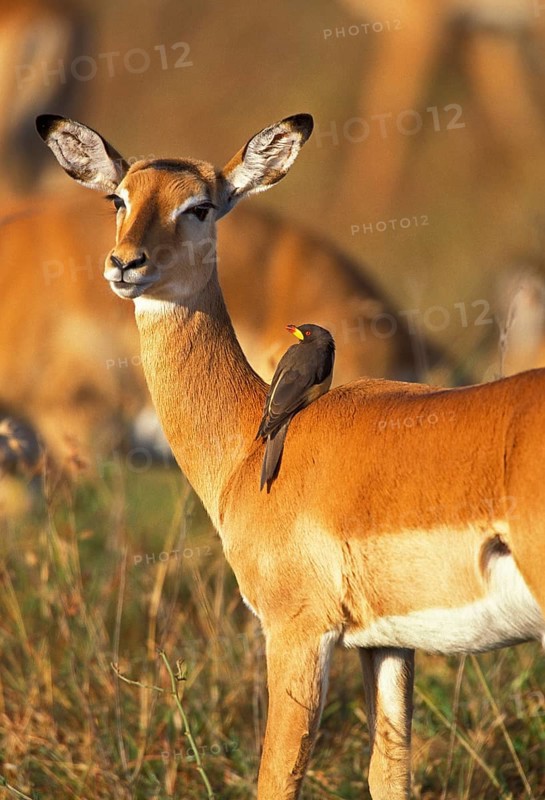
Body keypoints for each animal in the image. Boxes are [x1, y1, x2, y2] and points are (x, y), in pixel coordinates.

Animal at [37, 112, 545, 800]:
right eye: (119, 198)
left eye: (200, 207)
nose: (125, 264)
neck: (248, 443)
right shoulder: (386, 644)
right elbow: (389, 773)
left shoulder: (296, 632)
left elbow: (276, 777)